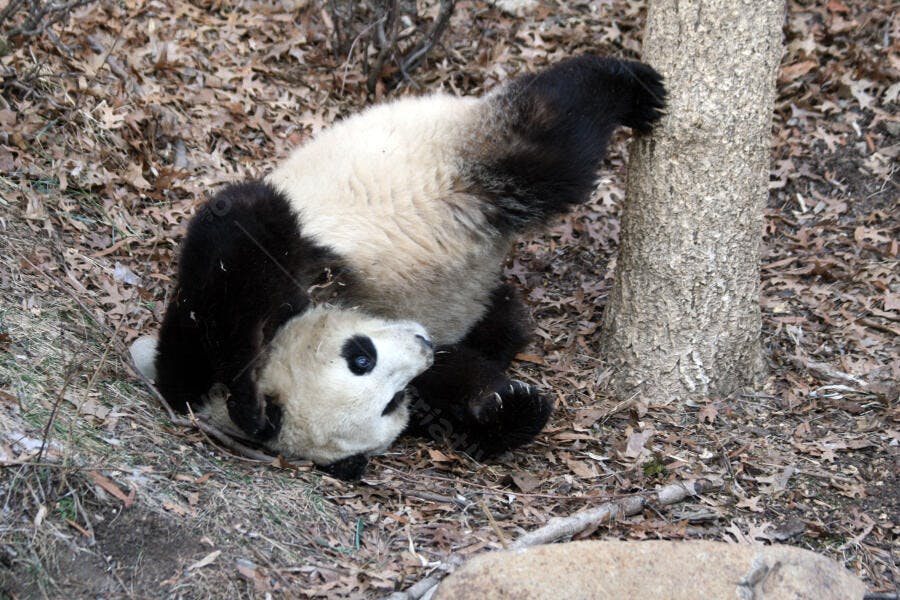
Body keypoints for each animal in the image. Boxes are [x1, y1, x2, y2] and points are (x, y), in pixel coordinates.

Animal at [132, 55, 665, 480]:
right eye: (389, 401)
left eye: (359, 356)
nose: (421, 344)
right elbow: (452, 393)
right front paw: (507, 406)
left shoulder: (283, 267)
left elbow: (235, 236)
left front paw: (244, 396)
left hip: (446, 162)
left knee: (546, 141)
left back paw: (636, 89)